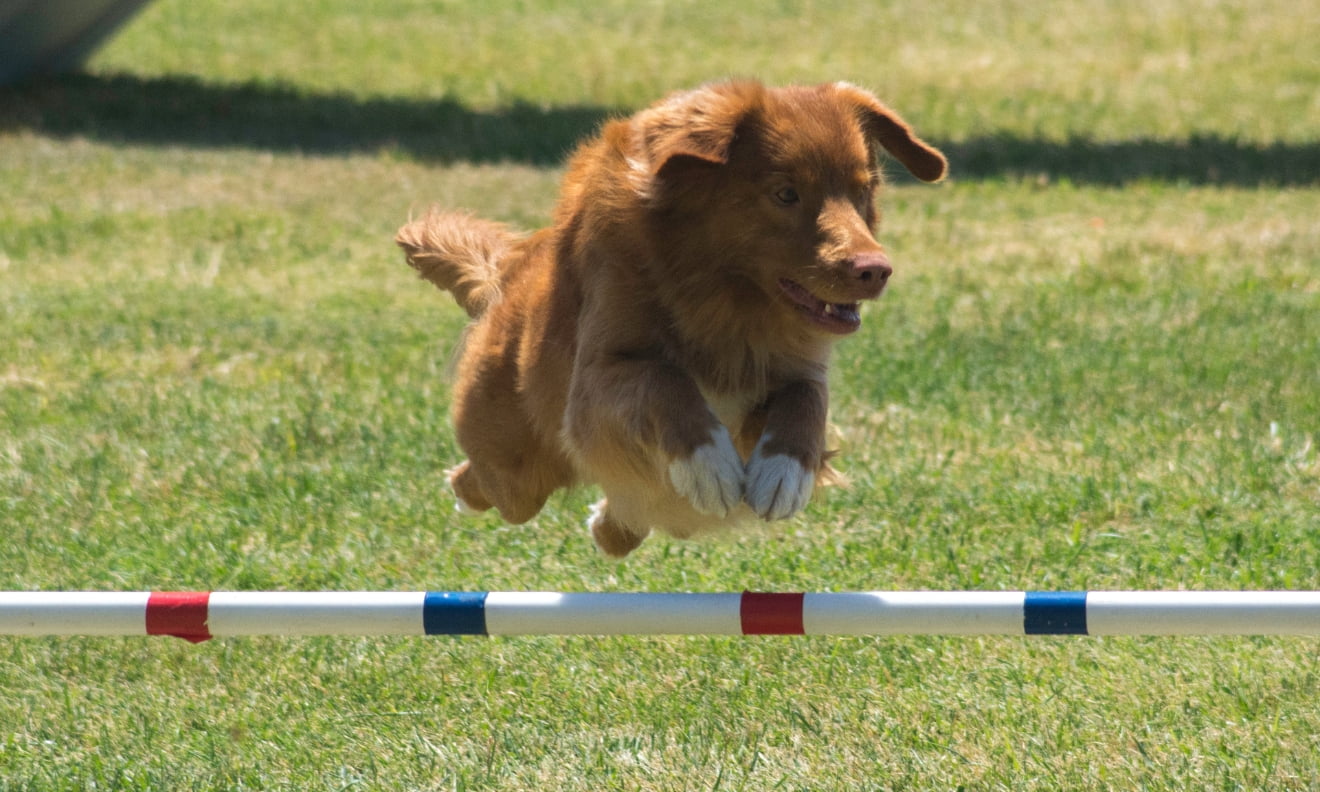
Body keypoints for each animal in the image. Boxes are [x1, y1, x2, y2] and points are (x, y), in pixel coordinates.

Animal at [396, 77, 945, 554]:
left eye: (862, 191)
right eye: (786, 193)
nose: (875, 270)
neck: (722, 297)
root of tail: (506, 277)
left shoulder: (800, 363)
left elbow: (807, 399)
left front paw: (785, 470)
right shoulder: (597, 379)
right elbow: (662, 380)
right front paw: (707, 461)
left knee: (626, 523)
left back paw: (609, 523)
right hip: (516, 466)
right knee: (487, 483)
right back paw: (463, 490)